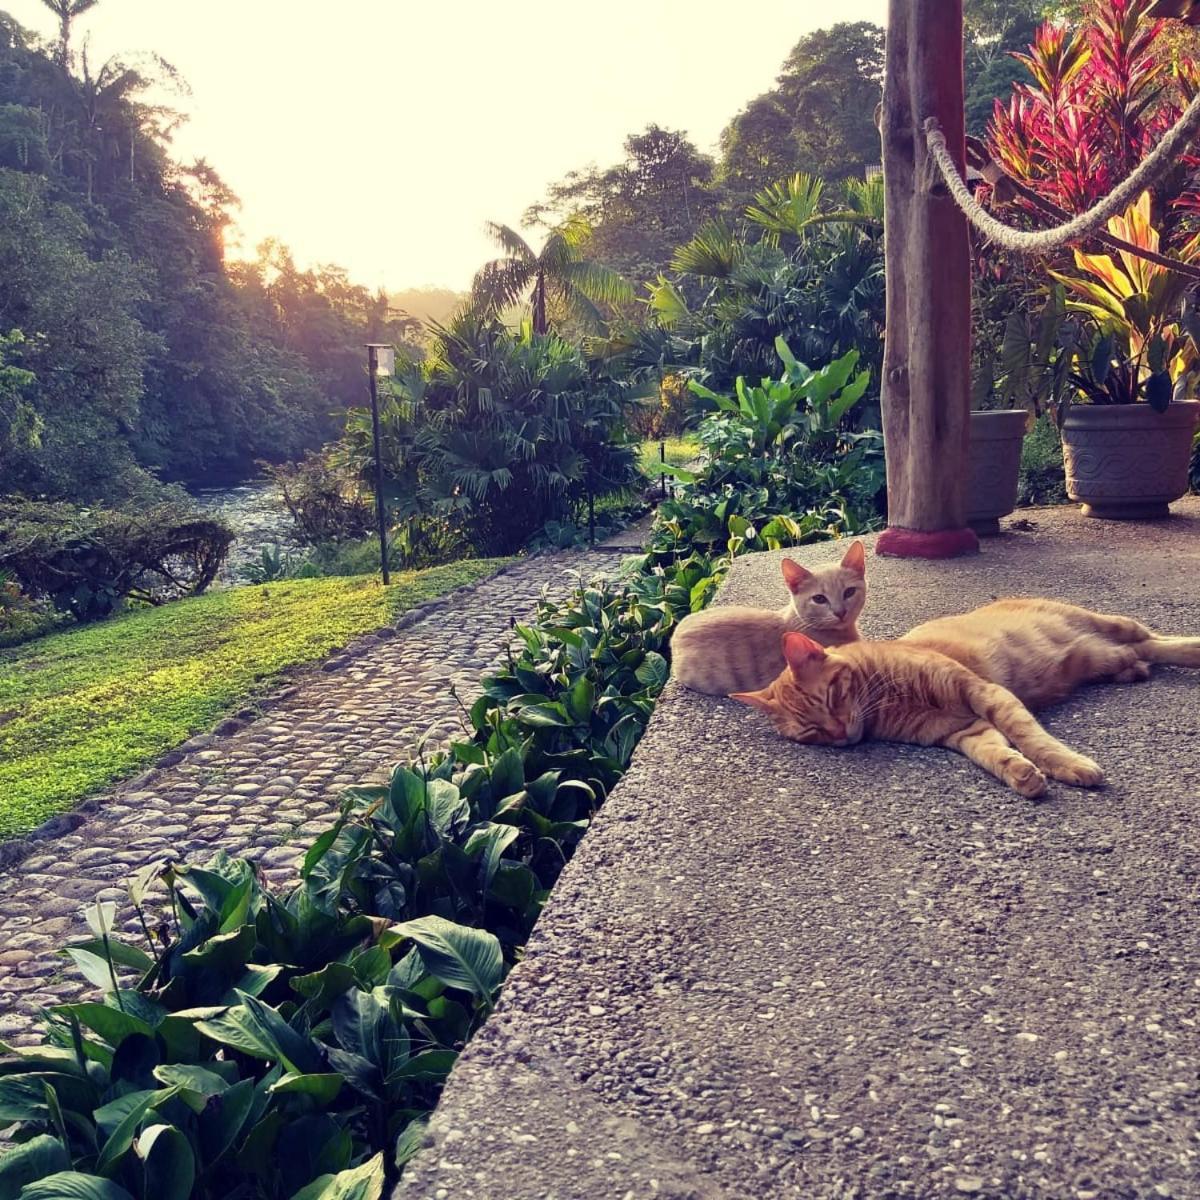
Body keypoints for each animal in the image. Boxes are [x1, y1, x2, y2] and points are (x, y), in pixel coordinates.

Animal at [724, 638, 1099, 796]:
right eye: (812, 732)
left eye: (831, 698)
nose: (840, 733)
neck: (891, 699)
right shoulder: (966, 730)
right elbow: (994, 753)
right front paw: (1021, 773)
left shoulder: (985, 693)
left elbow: (1031, 738)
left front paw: (1068, 764)